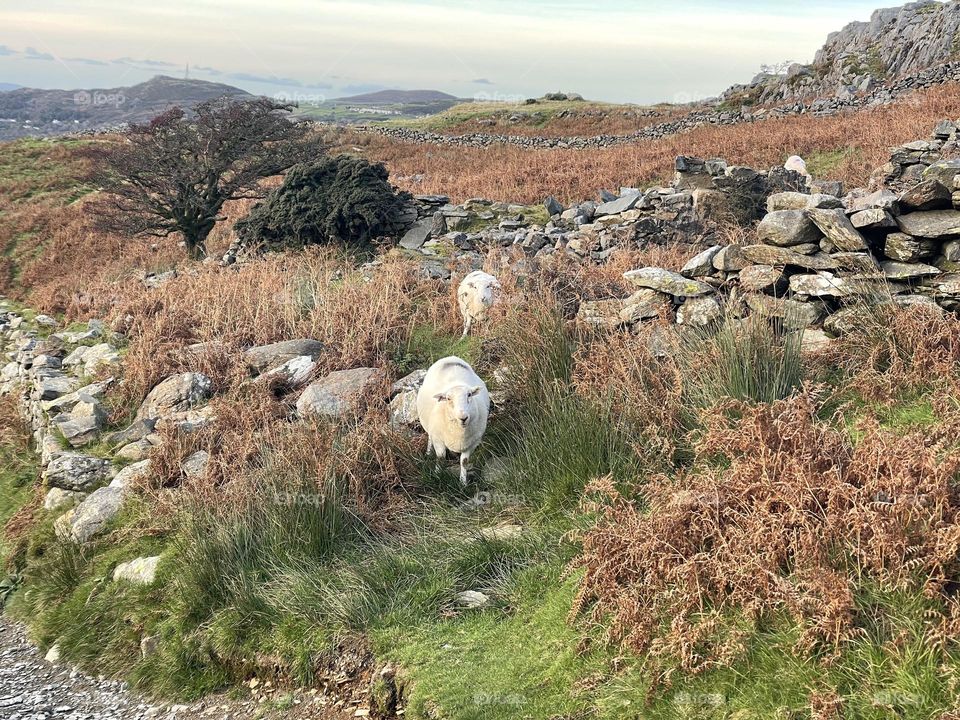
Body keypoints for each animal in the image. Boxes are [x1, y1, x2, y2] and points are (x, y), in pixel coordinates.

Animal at [414, 354, 488, 484]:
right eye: (448, 399)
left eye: (469, 395)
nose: (463, 418)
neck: (460, 432)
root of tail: (450, 358)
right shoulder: (438, 438)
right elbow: (441, 457)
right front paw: (437, 475)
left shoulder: (472, 443)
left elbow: (464, 461)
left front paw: (463, 482)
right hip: (429, 426)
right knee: (429, 436)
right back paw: (428, 452)